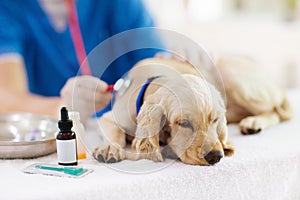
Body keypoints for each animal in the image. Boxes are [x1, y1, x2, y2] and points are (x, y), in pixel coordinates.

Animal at [92, 56, 292, 166]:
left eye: (215, 120)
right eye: (184, 123)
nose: (215, 156)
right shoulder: (109, 117)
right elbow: (114, 130)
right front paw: (109, 148)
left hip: (238, 83)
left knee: (277, 112)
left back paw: (253, 122)